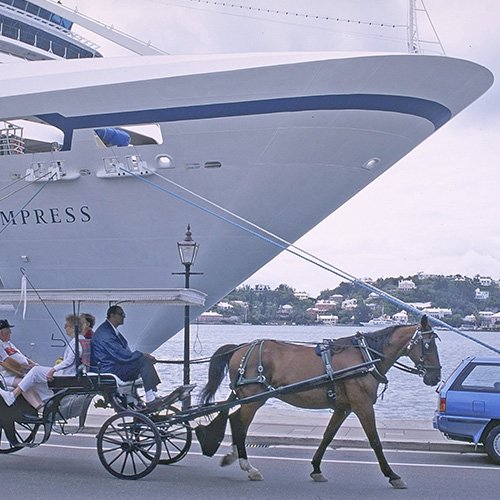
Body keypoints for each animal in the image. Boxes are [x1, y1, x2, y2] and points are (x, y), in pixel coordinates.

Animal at [197, 315, 441, 488]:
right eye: (428, 345)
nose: (435, 377)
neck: (365, 357)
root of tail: (240, 347)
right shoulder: (362, 405)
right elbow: (375, 441)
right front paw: (392, 475)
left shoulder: (343, 408)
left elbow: (327, 436)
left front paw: (316, 468)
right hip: (253, 399)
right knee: (239, 424)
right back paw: (248, 466)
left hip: (249, 398)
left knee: (233, 419)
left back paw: (234, 457)